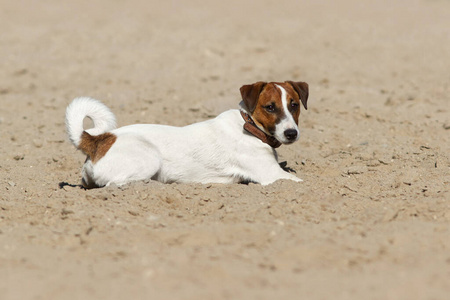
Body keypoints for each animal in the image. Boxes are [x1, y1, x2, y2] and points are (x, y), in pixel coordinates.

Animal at [65, 80, 308, 188]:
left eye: (294, 105)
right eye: (270, 107)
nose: (291, 133)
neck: (249, 125)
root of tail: (98, 140)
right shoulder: (272, 176)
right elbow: (299, 182)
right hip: (149, 158)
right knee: (114, 184)